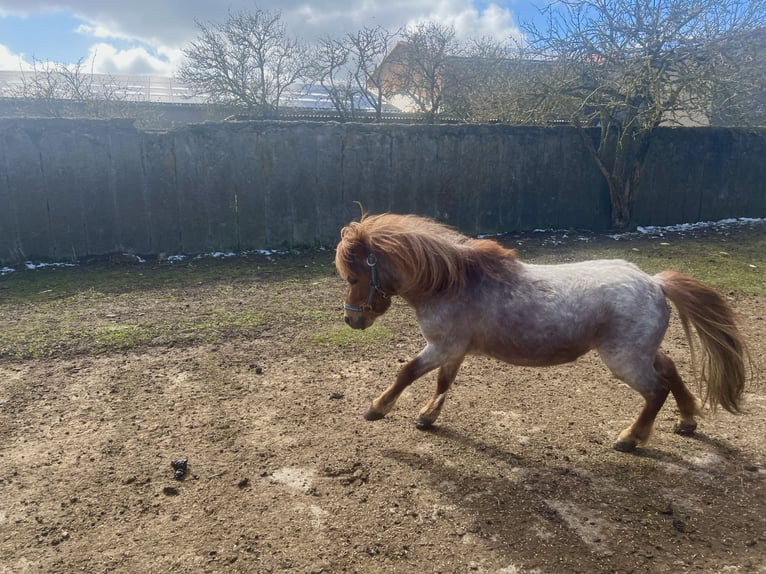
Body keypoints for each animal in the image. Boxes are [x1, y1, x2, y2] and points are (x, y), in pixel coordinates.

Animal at [334, 212, 749, 452]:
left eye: (353, 277)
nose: (352, 321)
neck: (454, 283)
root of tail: (655, 283)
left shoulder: (440, 346)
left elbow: (406, 373)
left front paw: (377, 408)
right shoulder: (453, 349)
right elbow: (442, 384)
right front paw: (427, 417)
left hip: (625, 361)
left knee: (656, 389)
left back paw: (630, 439)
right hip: (642, 352)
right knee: (672, 370)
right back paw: (687, 420)